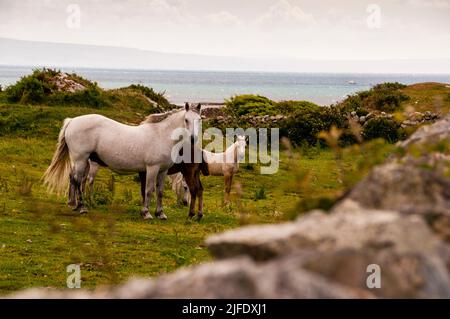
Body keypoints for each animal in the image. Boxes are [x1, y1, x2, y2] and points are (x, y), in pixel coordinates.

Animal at [42, 104, 200, 221]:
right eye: (186, 120)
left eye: (199, 120)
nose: (193, 139)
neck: (161, 135)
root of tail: (72, 121)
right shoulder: (152, 169)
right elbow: (149, 190)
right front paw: (146, 213)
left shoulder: (163, 171)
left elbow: (160, 191)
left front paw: (160, 213)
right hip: (81, 159)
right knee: (78, 180)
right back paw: (82, 207)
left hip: (83, 161)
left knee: (75, 179)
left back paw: (74, 204)